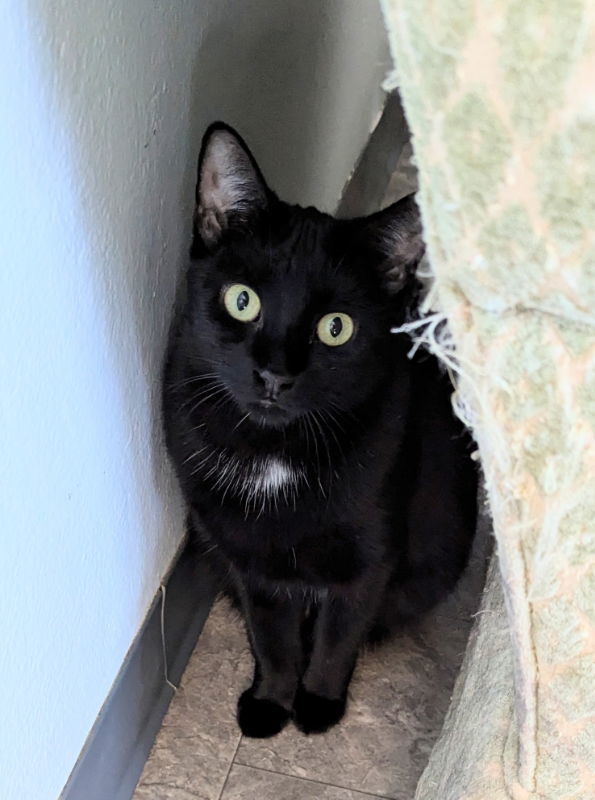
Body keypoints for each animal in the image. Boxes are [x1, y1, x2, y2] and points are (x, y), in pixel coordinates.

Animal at [163, 122, 480, 740]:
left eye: (337, 328)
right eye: (242, 300)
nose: (275, 375)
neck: (275, 453)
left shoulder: (372, 557)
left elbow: (338, 636)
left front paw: (319, 704)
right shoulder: (251, 560)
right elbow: (273, 640)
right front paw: (270, 701)